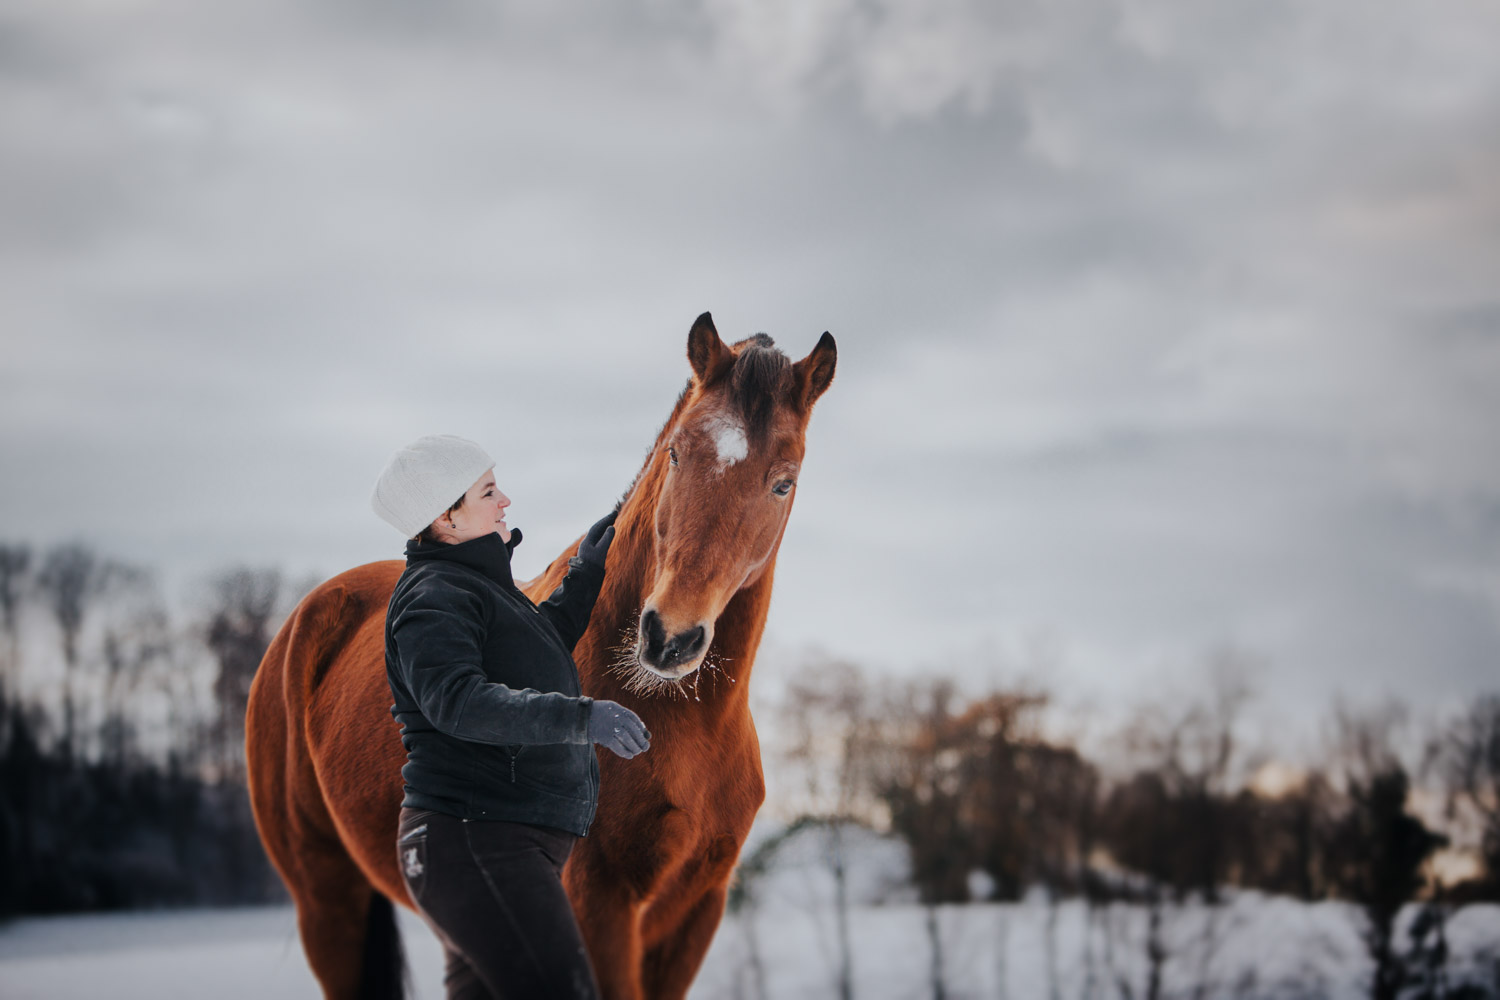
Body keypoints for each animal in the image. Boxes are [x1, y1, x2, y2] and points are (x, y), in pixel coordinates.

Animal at [243, 314, 834, 1000]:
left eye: (783, 481)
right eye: (678, 453)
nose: (668, 638)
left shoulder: (695, 912)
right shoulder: (597, 905)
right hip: (326, 900)